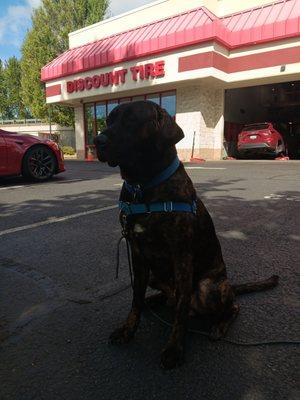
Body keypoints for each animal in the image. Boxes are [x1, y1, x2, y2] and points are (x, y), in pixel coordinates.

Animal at [94, 101, 278, 370]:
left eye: (131, 121)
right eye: (108, 120)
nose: (97, 141)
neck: (143, 187)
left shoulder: (181, 256)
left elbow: (180, 311)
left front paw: (174, 348)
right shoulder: (137, 255)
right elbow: (135, 298)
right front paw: (128, 329)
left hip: (207, 287)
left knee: (231, 305)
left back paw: (219, 326)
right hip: (154, 275)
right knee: (167, 296)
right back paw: (155, 300)